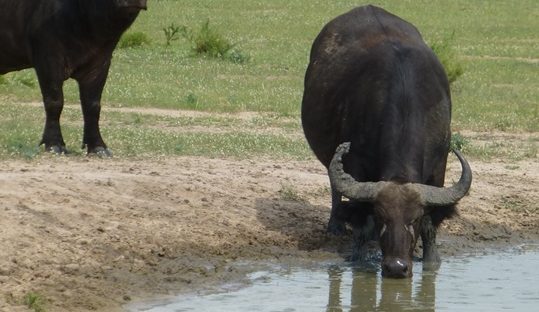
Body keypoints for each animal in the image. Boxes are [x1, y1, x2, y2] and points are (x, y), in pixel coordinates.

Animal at [0, 0, 148, 156]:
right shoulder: (47, 60)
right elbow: (54, 102)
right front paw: (54, 144)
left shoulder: (101, 63)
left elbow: (92, 106)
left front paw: (98, 147)